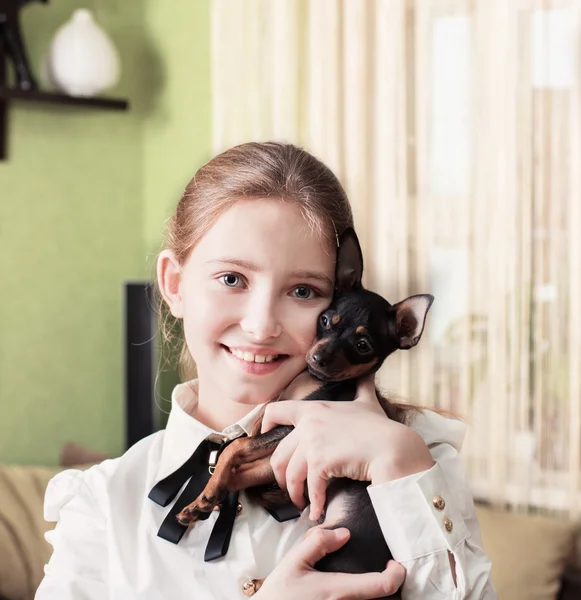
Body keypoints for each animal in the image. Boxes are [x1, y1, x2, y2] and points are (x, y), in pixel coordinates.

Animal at [179, 229, 432, 596]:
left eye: (362, 346)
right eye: (325, 321)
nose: (319, 356)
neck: (308, 382)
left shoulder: (291, 432)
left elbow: (234, 448)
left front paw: (211, 491)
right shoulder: (278, 456)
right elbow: (239, 468)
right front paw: (205, 499)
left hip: (334, 543)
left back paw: (261, 583)